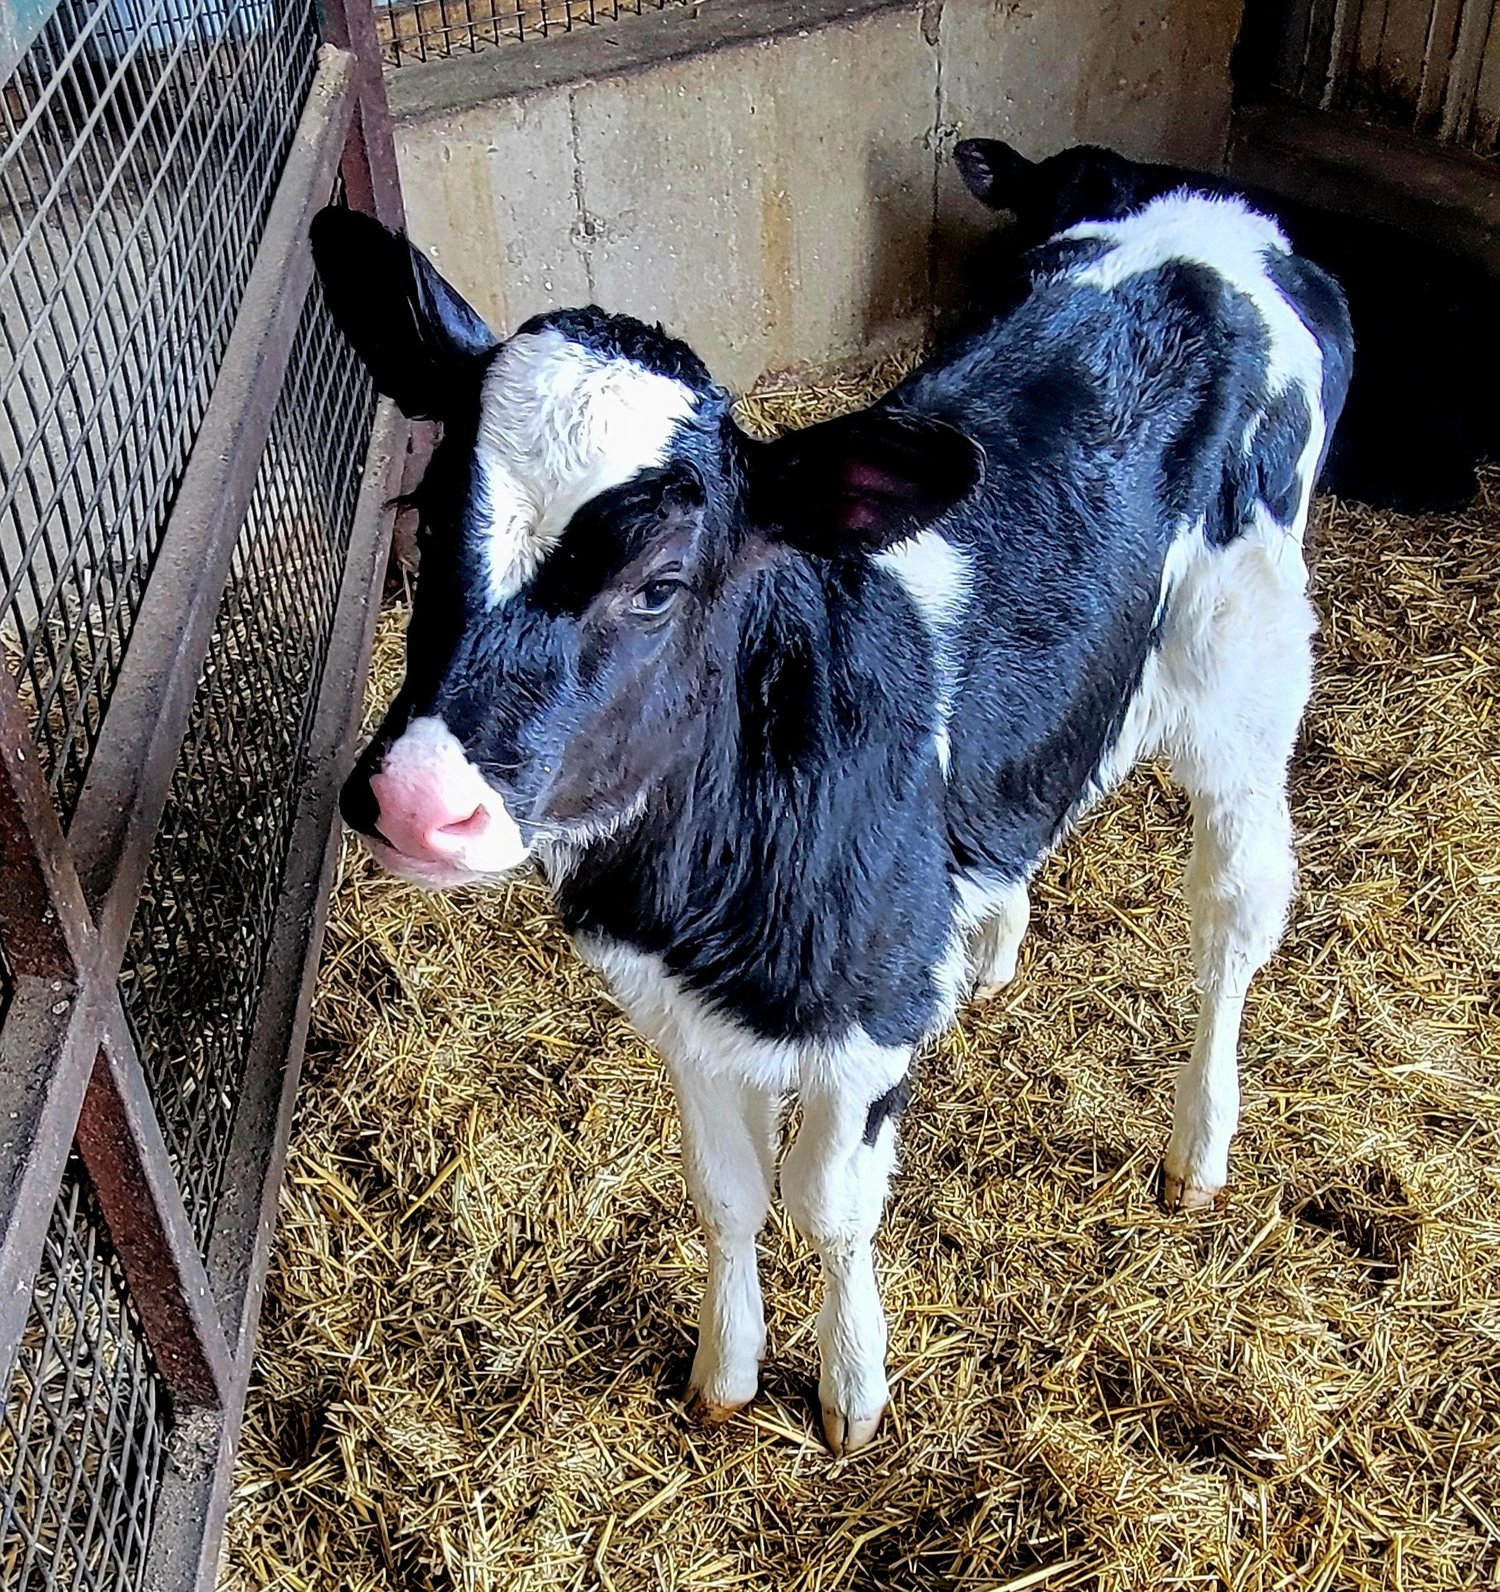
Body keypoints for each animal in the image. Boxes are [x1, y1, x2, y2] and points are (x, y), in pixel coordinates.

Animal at [309, 182, 1351, 1454]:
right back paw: (989, 948)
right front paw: (726, 1368)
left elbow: (829, 1202)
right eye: (422, 515)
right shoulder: (680, 1007)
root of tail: (1225, 218)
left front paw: (852, 1385)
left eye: (659, 585)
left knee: (1232, 920)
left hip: (1245, 678)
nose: (416, 798)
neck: (696, 883)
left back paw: (1198, 1143)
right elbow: (726, 1191)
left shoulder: (867, 1019)